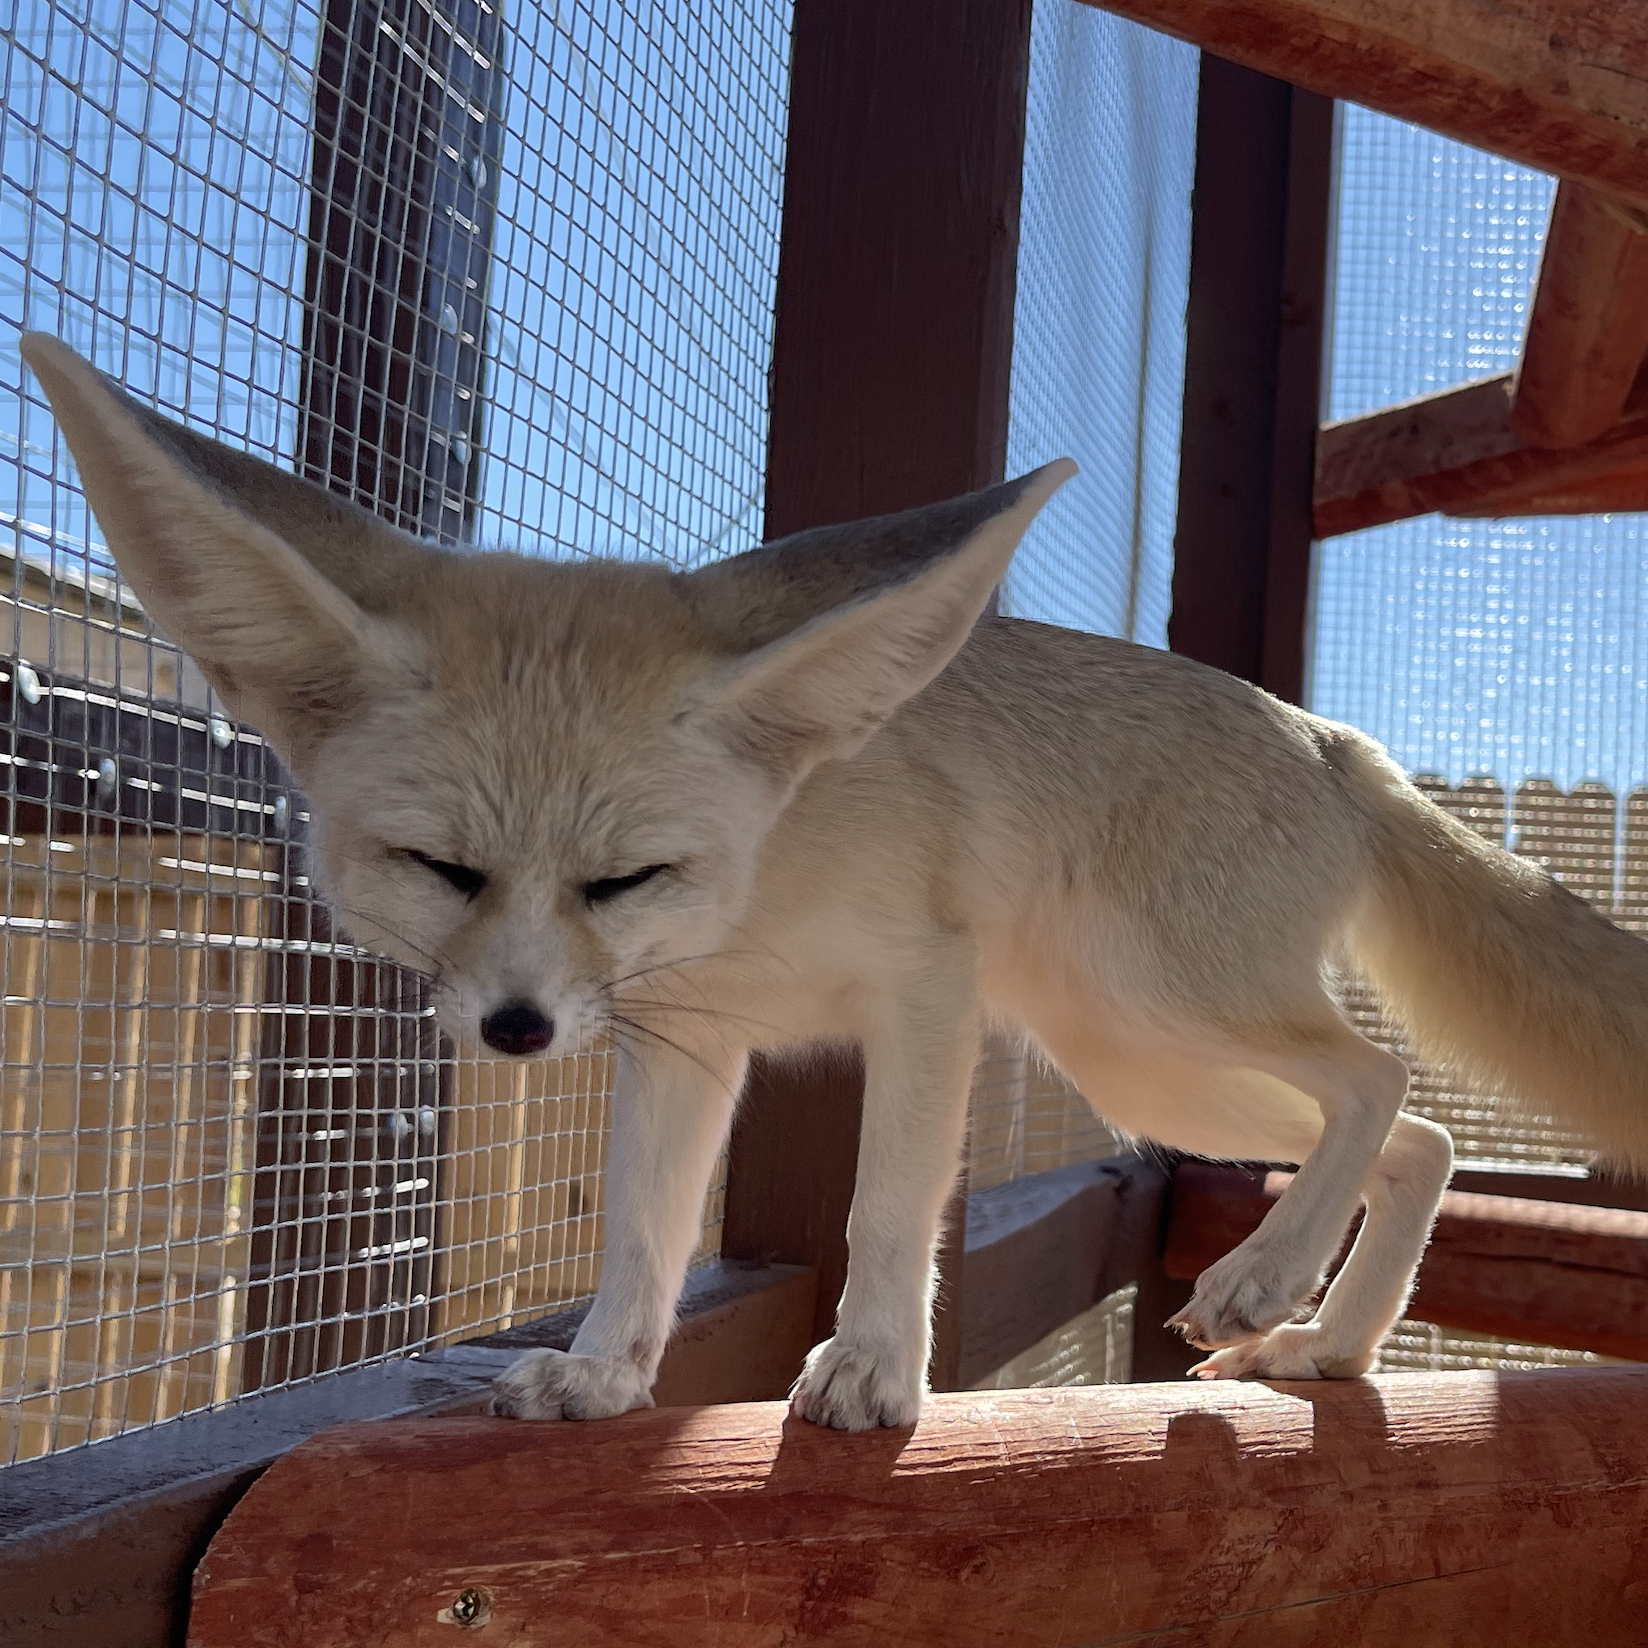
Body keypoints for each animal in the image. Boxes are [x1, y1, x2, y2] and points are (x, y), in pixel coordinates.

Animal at [20, 332, 1648, 1429]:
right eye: (443, 868)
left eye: (625, 875)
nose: (516, 1032)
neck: (758, 883)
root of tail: (1329, 733)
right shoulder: (686, 1039)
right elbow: (641, 1230)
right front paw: (605, 1370)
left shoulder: (925, 996)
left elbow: (883, 1213)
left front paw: (871, 1369)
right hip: (1150, 1069)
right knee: (1419, 1140)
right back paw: (1321, 1340)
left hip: (1163, 1012)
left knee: (1383, 1086)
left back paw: (1265, 1285)